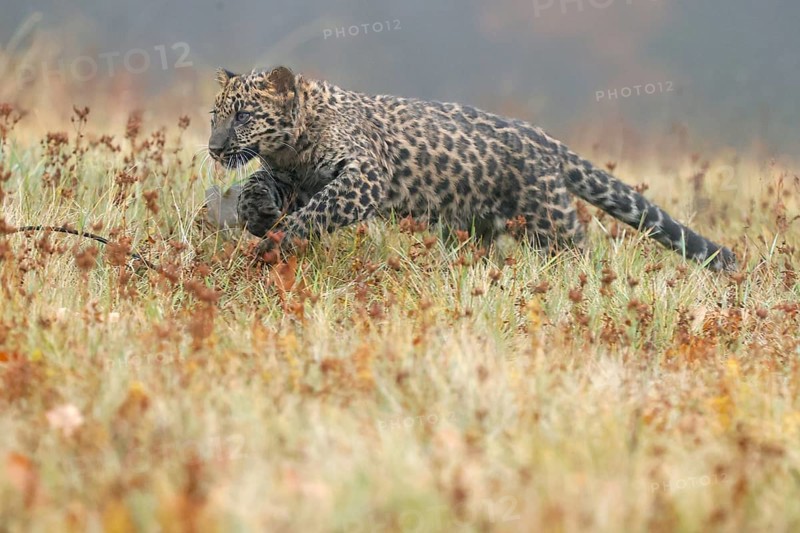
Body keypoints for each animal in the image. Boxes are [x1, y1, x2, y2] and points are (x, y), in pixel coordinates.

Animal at [208, 66, 737, 271]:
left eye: (244, 115)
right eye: (215, 115)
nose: (213, 148)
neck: (292, 148)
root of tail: (542, 136)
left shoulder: (364, 177)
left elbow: (316, 211)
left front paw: (276, 242)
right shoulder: (291, 176)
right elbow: (257, 182)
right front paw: (258, 216)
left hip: (550, 221)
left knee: (577, 248)